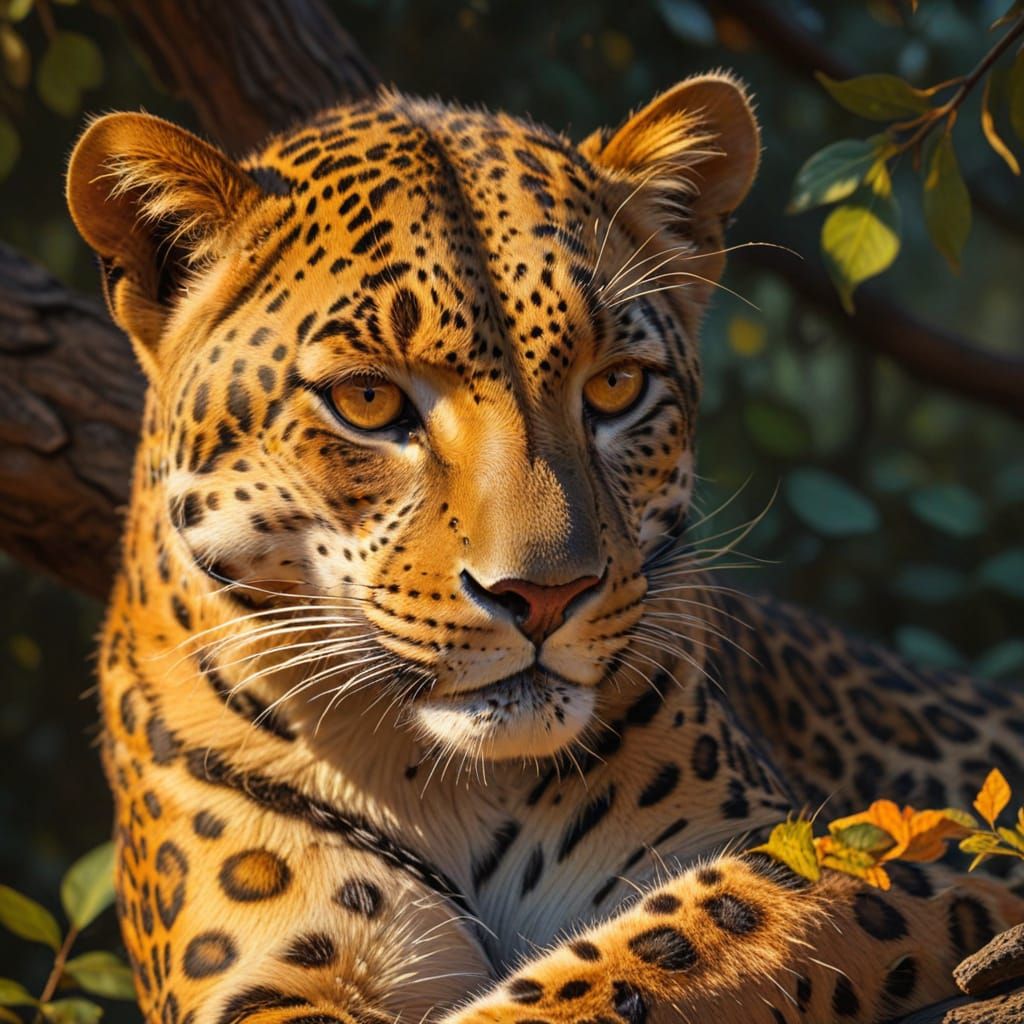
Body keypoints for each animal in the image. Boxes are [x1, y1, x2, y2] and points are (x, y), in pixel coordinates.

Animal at [65, 74, 1024, 1024]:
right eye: (369, 401)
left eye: (617, 386)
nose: (544, 597)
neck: (452, 785)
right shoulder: (267, 972)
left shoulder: (901, 858)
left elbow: (679, 944)